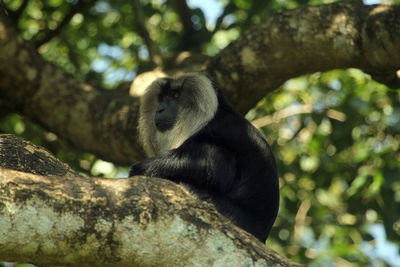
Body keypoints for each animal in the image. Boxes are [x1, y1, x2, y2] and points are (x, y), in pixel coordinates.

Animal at [130, 73, 280, 243]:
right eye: (162, 98)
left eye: (175, 95)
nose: (160, 109)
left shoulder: (219, 127)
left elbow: (210, 164)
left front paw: (142, 169)